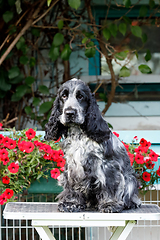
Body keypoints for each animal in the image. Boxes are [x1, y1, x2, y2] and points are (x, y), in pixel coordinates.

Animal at [44, 78, 141, 212]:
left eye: (80, 96)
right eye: (64, 96)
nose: (70, 113)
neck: (79, 135)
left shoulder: (107, 166)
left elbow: (109, 185)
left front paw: (109, 204)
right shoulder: (72, 166)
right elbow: (71, 186)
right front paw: (71, 203)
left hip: (130, 180)